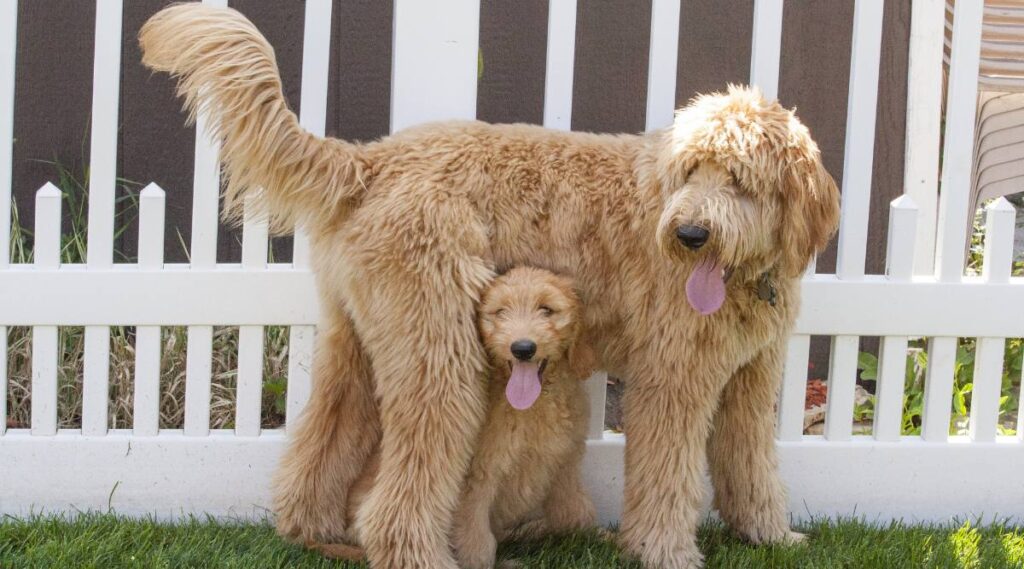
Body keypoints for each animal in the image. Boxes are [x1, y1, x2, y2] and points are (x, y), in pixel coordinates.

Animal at [315, 266, 598, 564]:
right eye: (500, 312)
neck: (533, 406)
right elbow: (477, 544)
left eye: (546, 309)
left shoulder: (566, 461)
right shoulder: (478, 479)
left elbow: (575, 512)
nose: (522, 348)